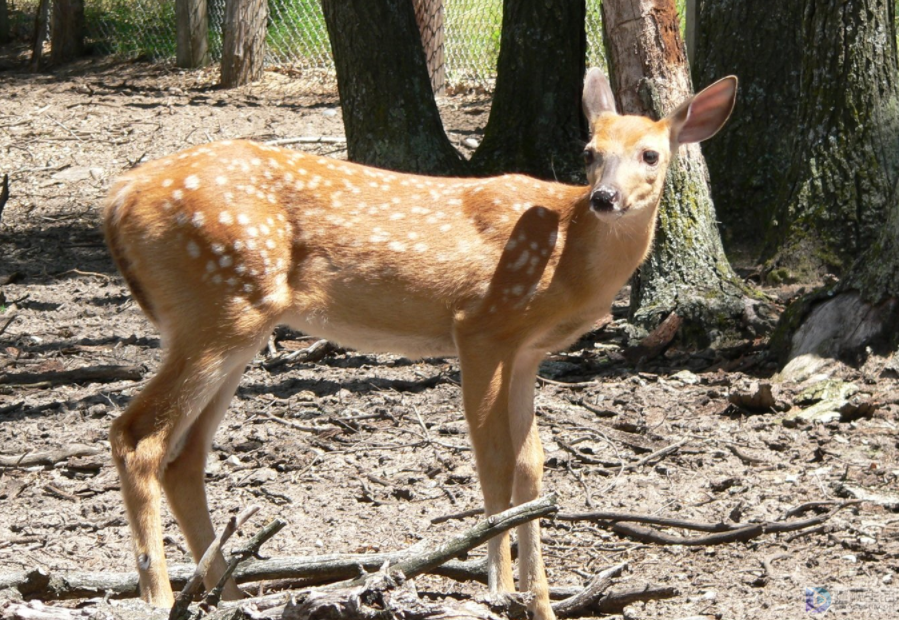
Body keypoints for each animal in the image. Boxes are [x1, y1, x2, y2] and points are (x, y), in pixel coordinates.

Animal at [105, 69, 740, 620]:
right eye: (588, 152)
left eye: (650, 155)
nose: (604, 198)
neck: (566, 254)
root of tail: (120, 194)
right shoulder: (480, 325)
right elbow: (493, 459)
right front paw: (500, 589)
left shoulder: (528, 351)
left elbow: (532, 465)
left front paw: (540, 602)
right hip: (219, 308)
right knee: (136, 435)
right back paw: (160, 598)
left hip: (234, 325)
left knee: (183, 456)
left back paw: (229, 597)